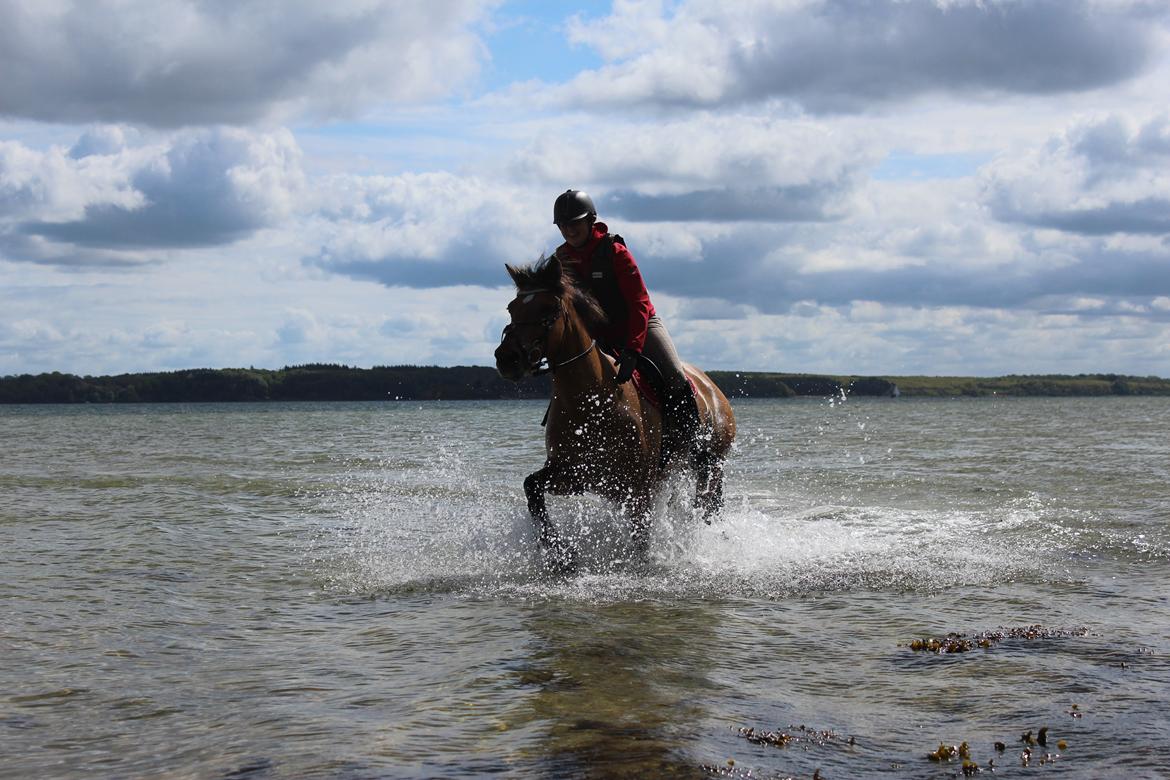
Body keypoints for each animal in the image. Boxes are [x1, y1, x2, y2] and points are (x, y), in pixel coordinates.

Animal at [491, 253, 730, 563]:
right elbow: (531, 487)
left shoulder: (637, 489)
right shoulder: (574, 477)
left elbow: (641, 540)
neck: (590, 402)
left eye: (549, 308)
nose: (507, 358)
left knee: (706, 507)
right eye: (512, 308)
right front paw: (560, 554)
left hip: (711, 466)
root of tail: (713, 388)